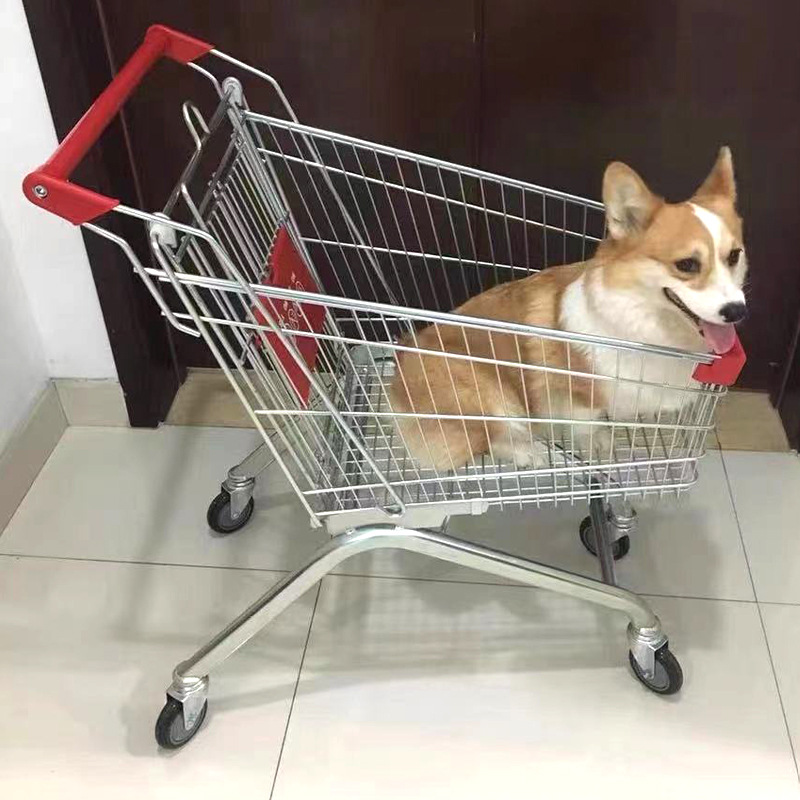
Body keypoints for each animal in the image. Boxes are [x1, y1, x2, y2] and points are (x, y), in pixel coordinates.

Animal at [388, 147, 747, 471]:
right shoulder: (577, 396)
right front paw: (596, 448)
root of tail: (399, 372)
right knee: (490, 437)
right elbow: (587, 426)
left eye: (734, 256)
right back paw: (528, 452)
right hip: (491, 394)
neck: (645, 327)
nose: (736, 311)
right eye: (686, 264)